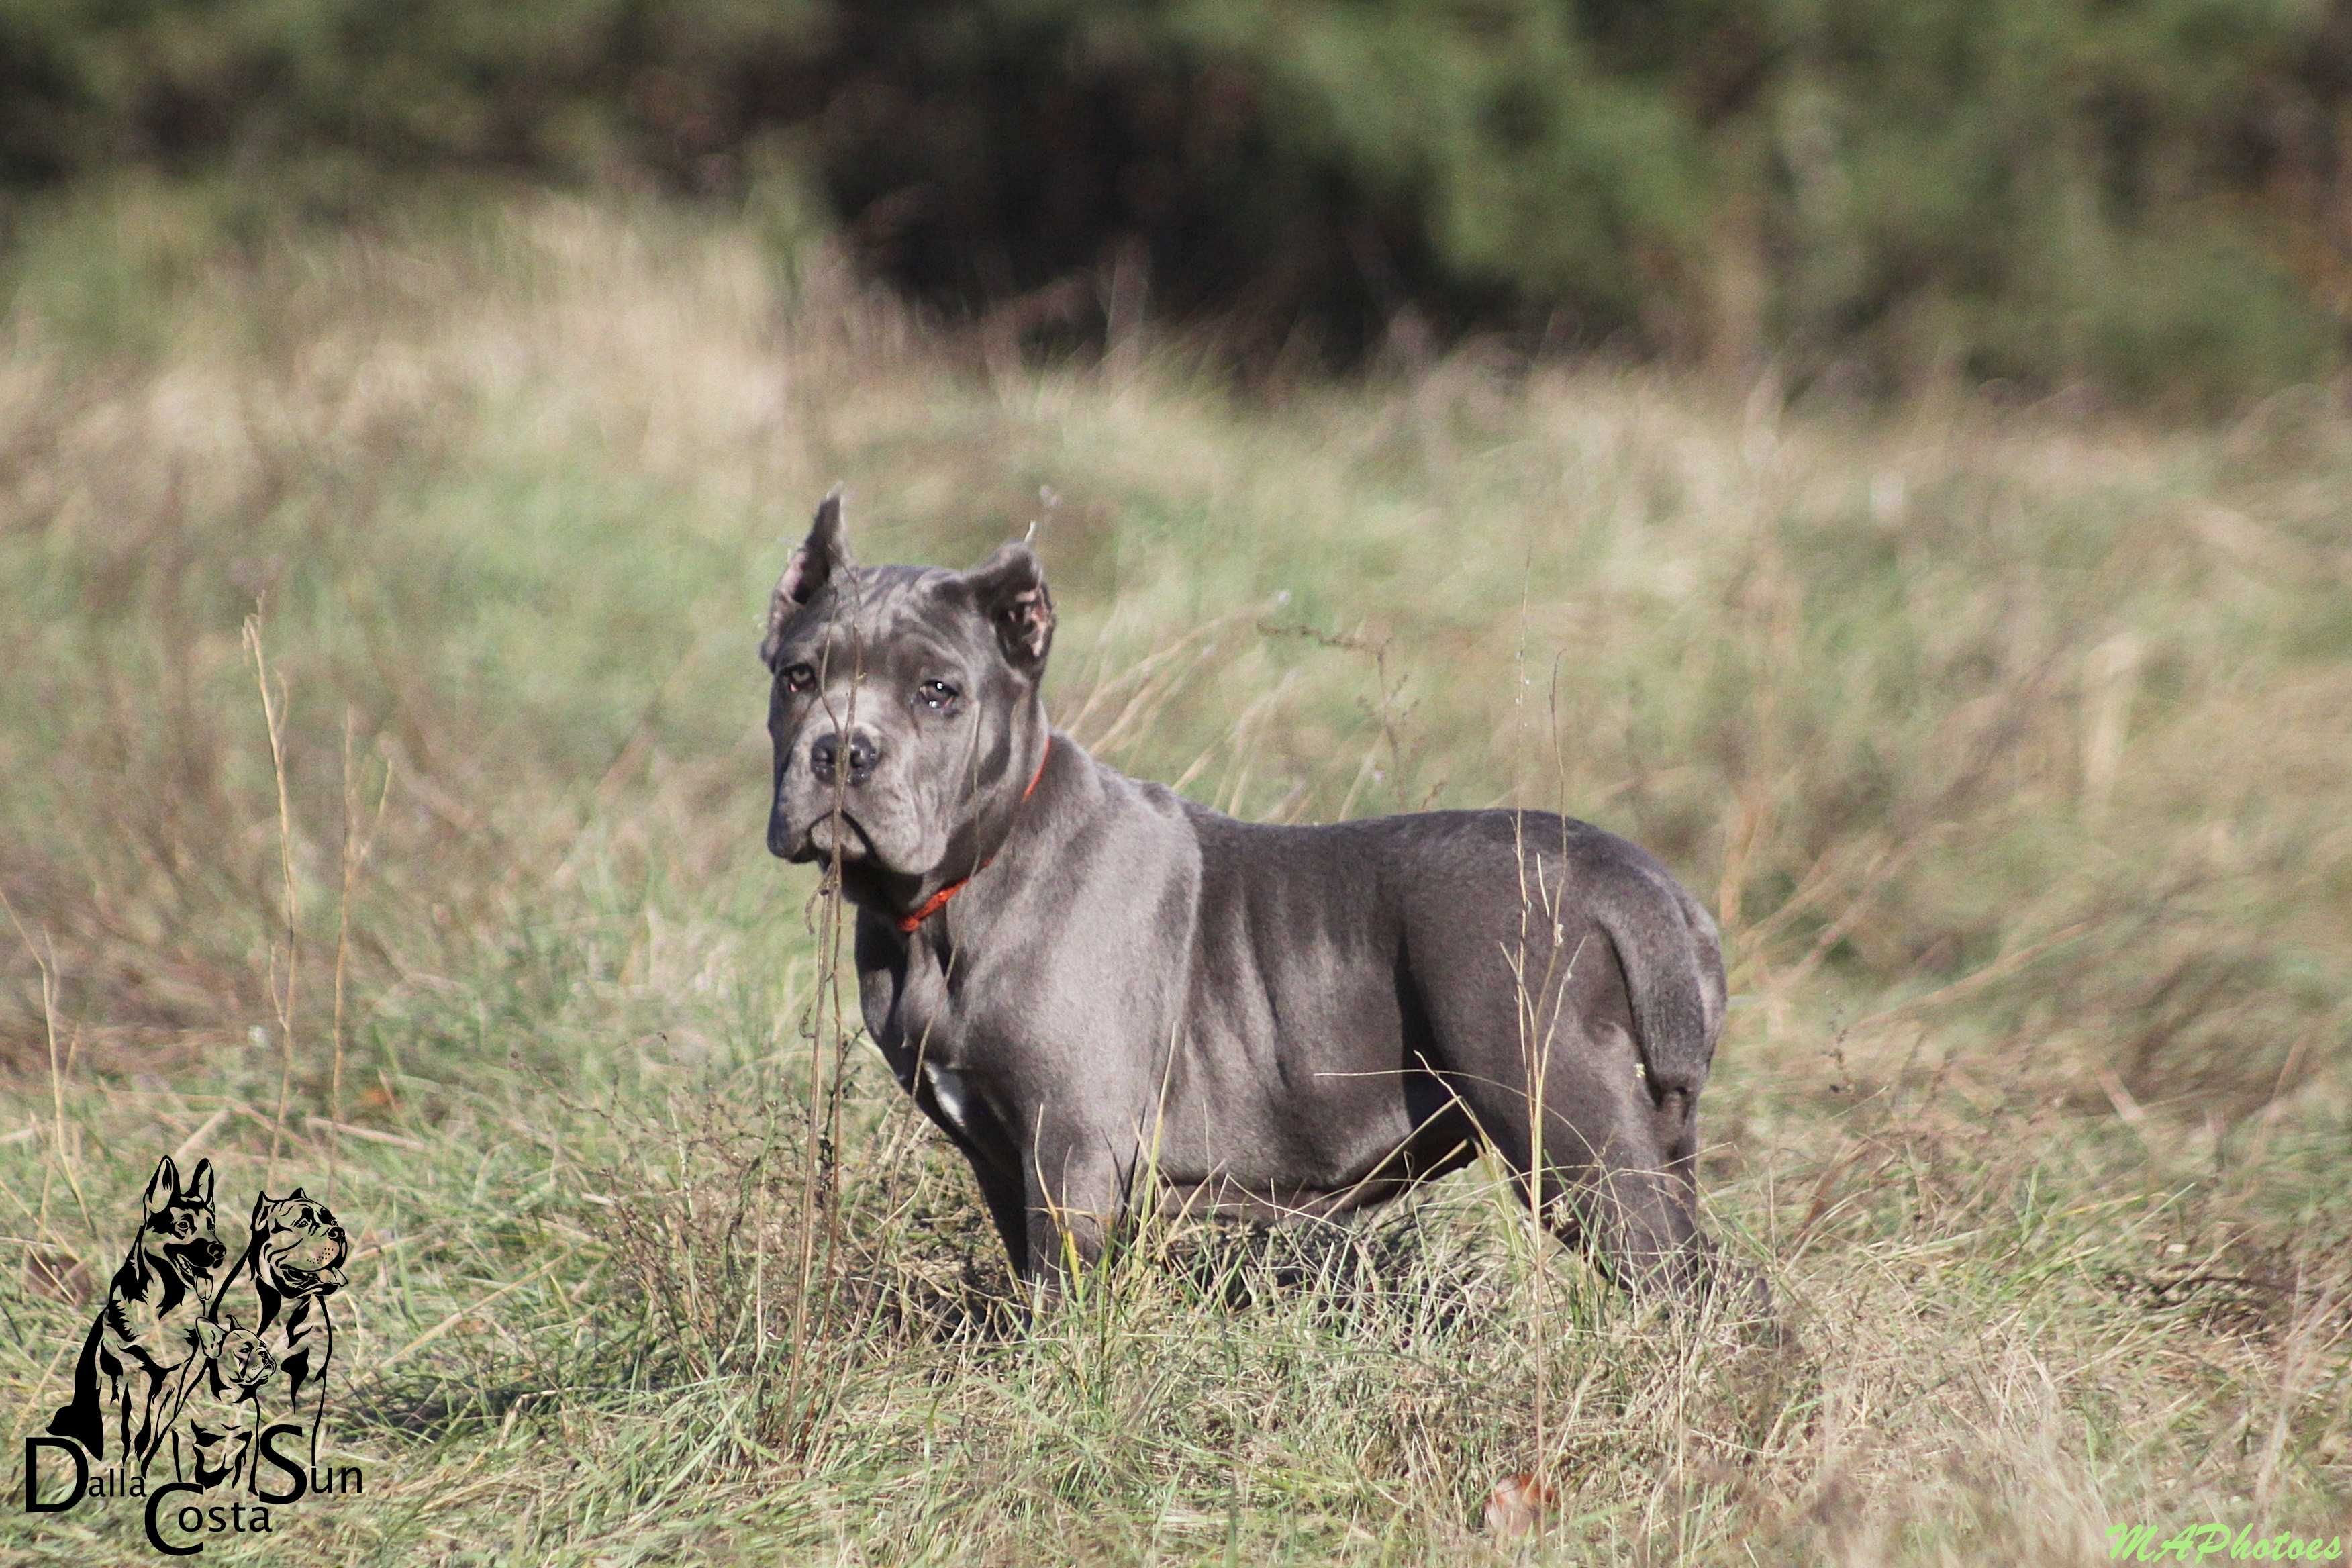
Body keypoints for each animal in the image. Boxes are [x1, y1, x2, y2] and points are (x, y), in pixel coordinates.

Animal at [762, 495, 1740, 1307]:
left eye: (938, 691)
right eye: (799, 676)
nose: (841, 751)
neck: (957, 894)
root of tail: (1644, 884)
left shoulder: (1073, 1149)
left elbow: (1061, 1303)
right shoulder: (1002, 1161)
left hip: (1569, 1129)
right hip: (1651, 1139)